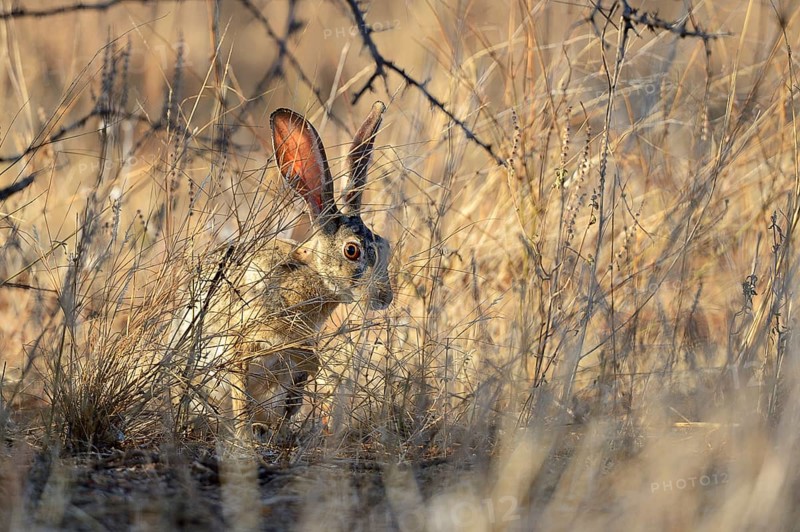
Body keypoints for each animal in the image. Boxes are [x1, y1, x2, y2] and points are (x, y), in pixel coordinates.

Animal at [178, 101, 392, 441]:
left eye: (385, 248)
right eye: (352, 250)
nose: (384, 298)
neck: (311, 275)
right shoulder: (245, 342)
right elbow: (241, 388)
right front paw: (244, 436)